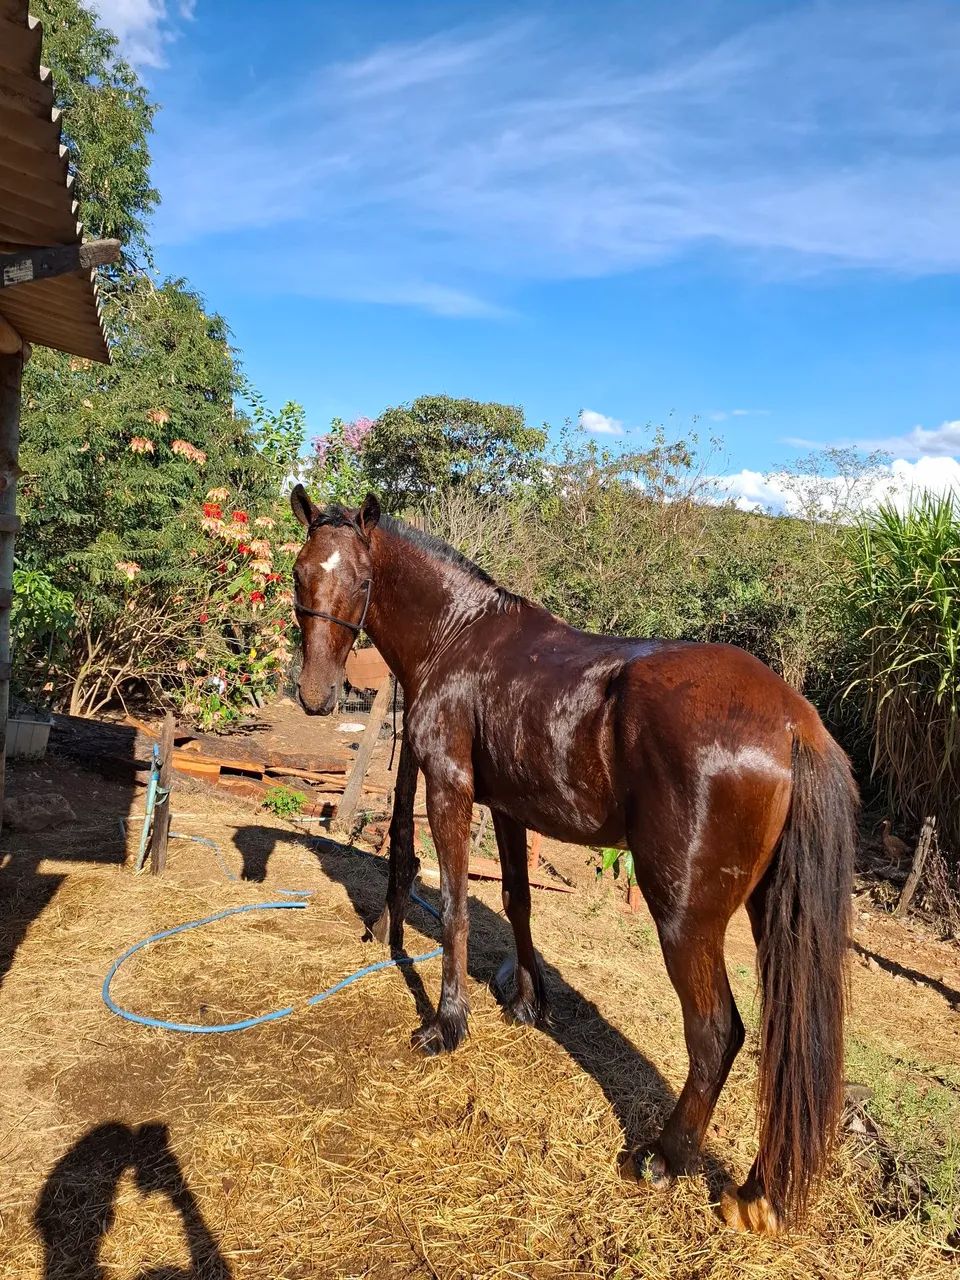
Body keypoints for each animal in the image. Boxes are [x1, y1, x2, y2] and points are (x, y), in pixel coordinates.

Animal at [290, 486, 857, 1237]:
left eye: (359, 580)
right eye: (300, 572)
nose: (316, 695)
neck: (459, 635)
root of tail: (796, 722)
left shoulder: (449, 789)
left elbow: (458, 908)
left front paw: (447, 1023)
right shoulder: (507, 806)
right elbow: (517, 899)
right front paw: (529, 1002)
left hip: (683, 916)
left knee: (716, 1034)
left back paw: (664, 1157)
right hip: (773, 917)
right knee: (784, 1047)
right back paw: (755, 1192)